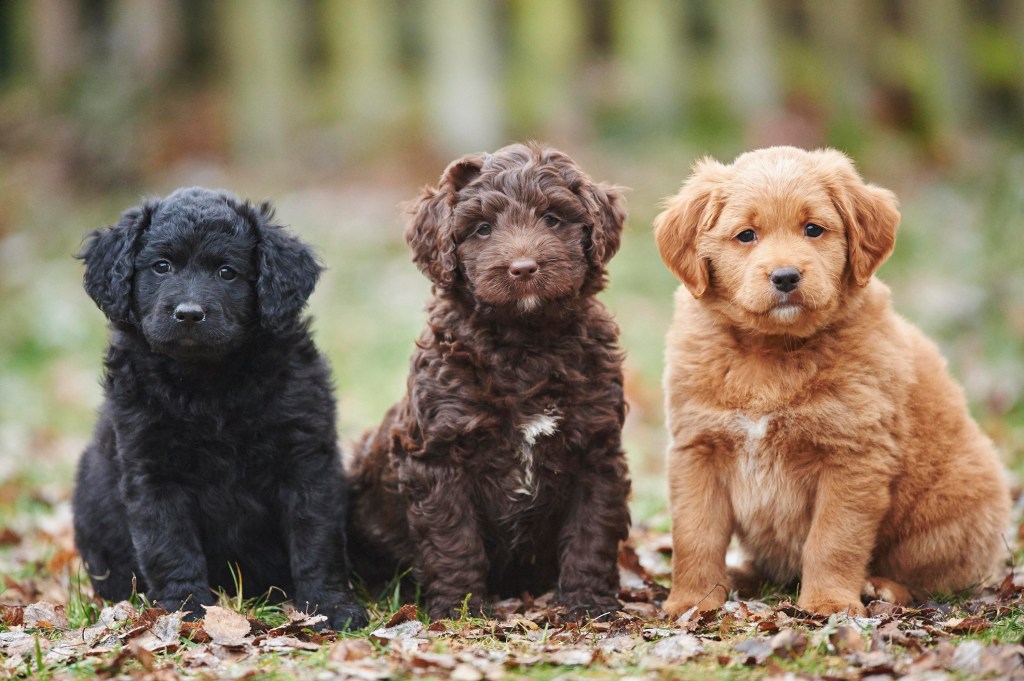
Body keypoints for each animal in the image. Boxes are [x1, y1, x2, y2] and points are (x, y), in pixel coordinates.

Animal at [73, 184, 368, 626]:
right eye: (162, 266)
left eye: (227, 272)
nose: (188, 314)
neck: (208, 384)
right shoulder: (152, 471)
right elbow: (170, 545)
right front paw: (187, 609)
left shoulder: (306, 461)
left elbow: (316, 538)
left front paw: (330, 606)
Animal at [655, 144, 1007, 614]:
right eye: (746, 235)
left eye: (813, 229)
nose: (786, 276)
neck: (770, 352)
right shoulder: (698, 449)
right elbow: (695, 535)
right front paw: (693, 601)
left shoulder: (854, 455)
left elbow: (834, 539)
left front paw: (829, 603)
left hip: (951, 513)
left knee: (931, 579)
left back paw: (882, 587)